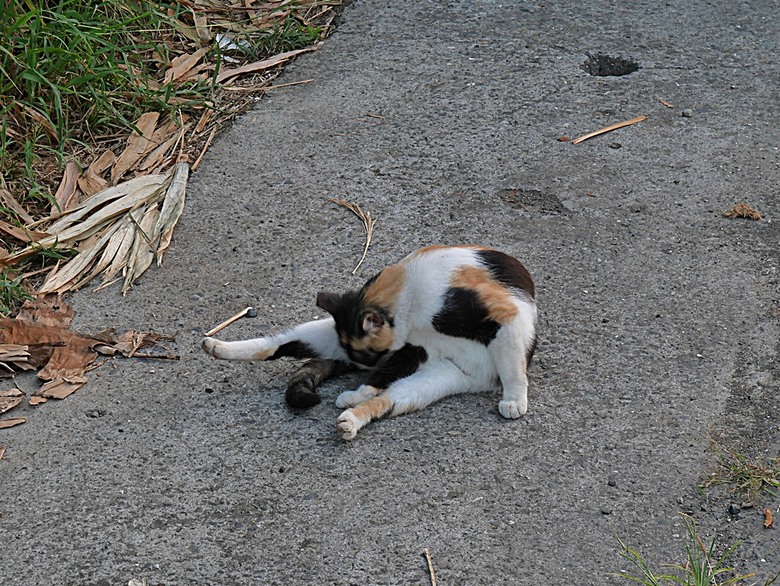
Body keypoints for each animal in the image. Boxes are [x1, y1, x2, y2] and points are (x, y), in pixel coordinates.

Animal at [201, 243, 536, 438]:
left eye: (367, 357)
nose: (359, 367)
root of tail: (476, 377)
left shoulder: (501, 317)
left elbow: (513, 369)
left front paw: (515, 399)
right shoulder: (412, 346)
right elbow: (385, 373)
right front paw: (359, 389)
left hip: (435, 378)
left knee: (388, 399)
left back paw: (350, 415)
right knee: (280, 343)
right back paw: (216, 346)